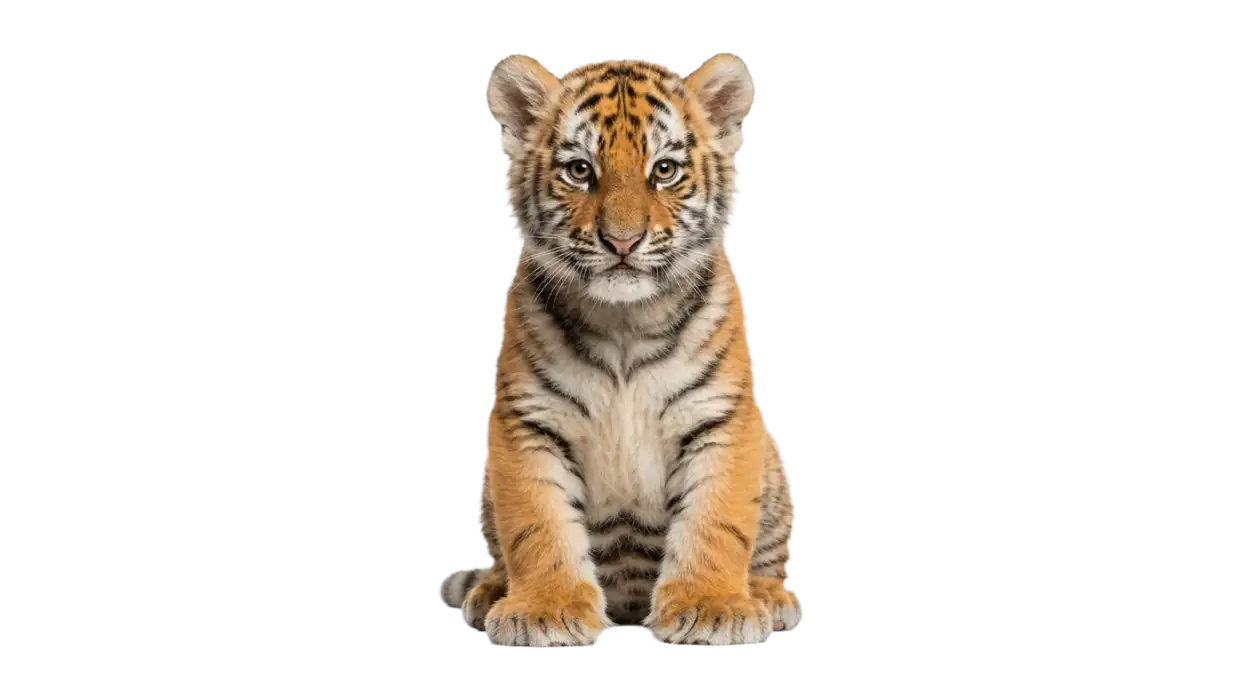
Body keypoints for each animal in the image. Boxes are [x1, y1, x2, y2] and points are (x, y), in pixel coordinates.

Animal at [438, 54, 799, 647]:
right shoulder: (527, 422)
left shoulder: (721, 418)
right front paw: (546, 609)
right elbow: (536, 524)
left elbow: (717, 521)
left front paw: (710, 607)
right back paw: (489, 591)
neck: (625, 322)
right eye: (580, 170)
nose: (623, 242)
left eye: (665, 170)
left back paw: (766, 597)